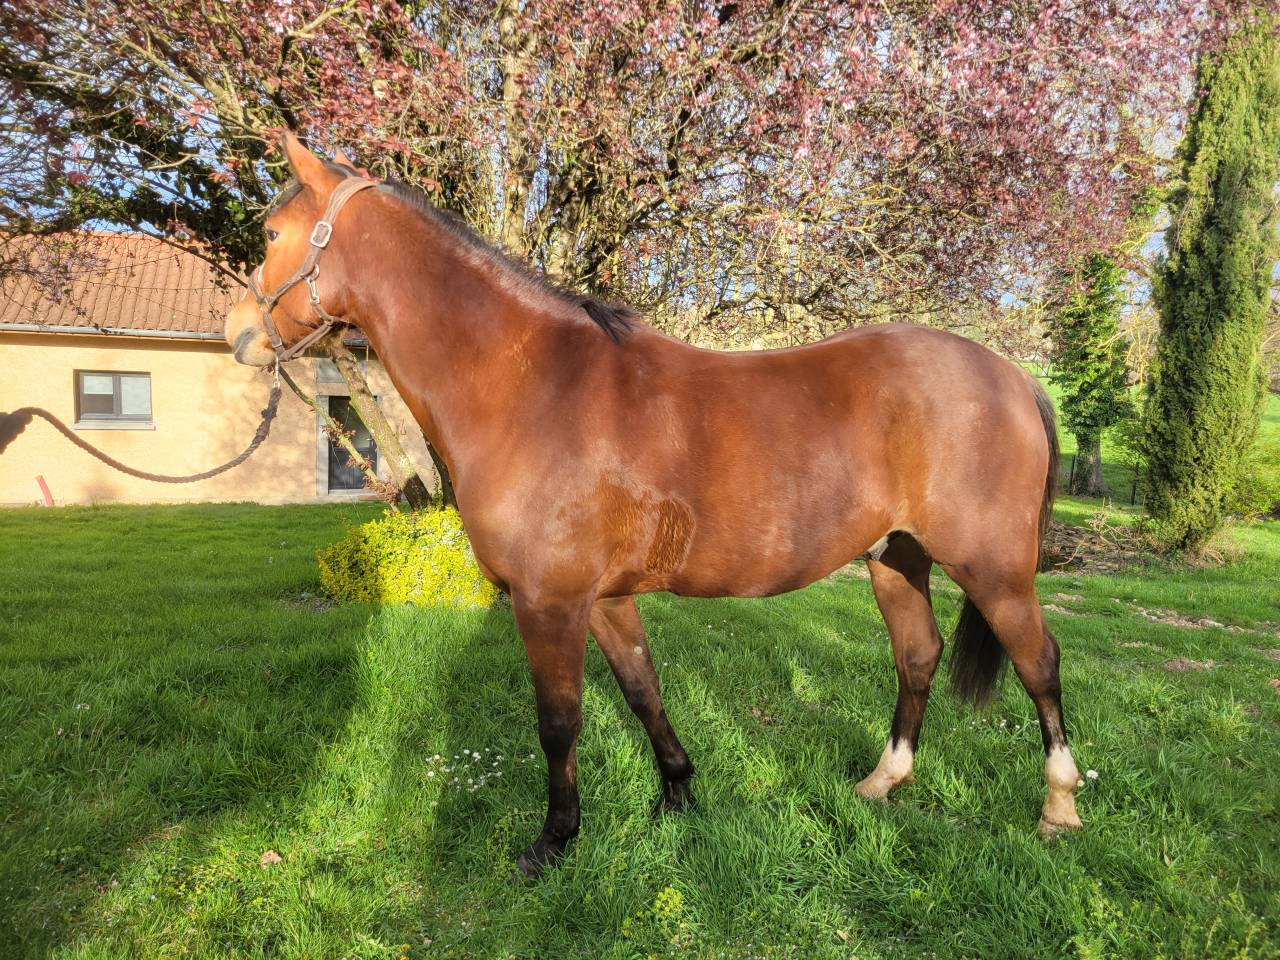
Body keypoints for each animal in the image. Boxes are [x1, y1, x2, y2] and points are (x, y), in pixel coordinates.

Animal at [225, 133, 1083, 877]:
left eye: (271, 232)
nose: (236, 332)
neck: (530, 386)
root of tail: (1013, 376)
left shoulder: (549, 602)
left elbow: (559, 722)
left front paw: (554, 841)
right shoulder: (604, 600)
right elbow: (643, 691)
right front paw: (676, 794)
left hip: (995, 570)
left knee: (1040, 663)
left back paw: (1059, 809)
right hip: (896, 559)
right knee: (918, 656)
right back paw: (883, 782)